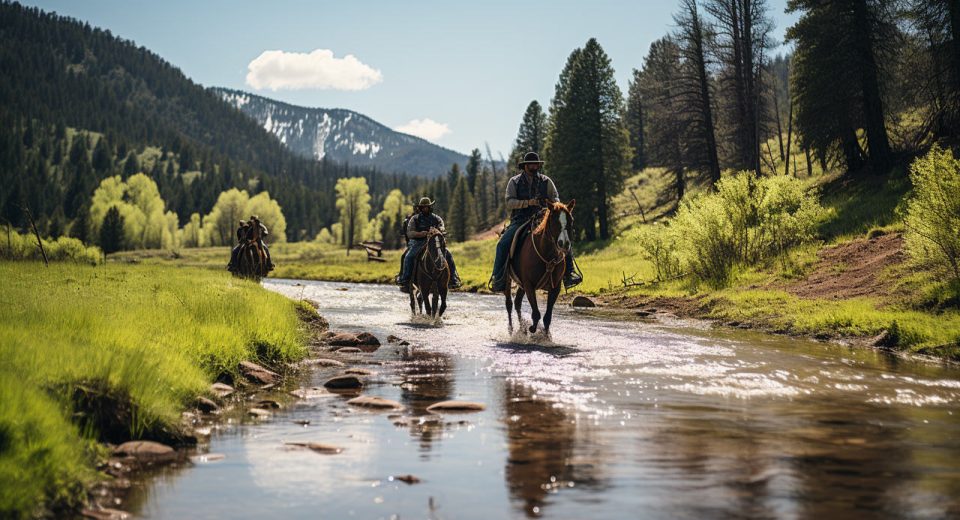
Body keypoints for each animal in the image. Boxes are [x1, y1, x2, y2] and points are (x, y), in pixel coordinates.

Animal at [506, 199, 572, 338]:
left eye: (571, 220)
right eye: (554, 220)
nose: (564, 244)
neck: (547, 254)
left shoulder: (555, 287)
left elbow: (547, 316)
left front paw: (546, 336)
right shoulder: (529, 285)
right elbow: (536, 313)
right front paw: (532, 329)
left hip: (521, 285)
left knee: (517, 302)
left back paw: (522, 329)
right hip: (508, 280)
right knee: (509, 304)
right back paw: (511, 330)